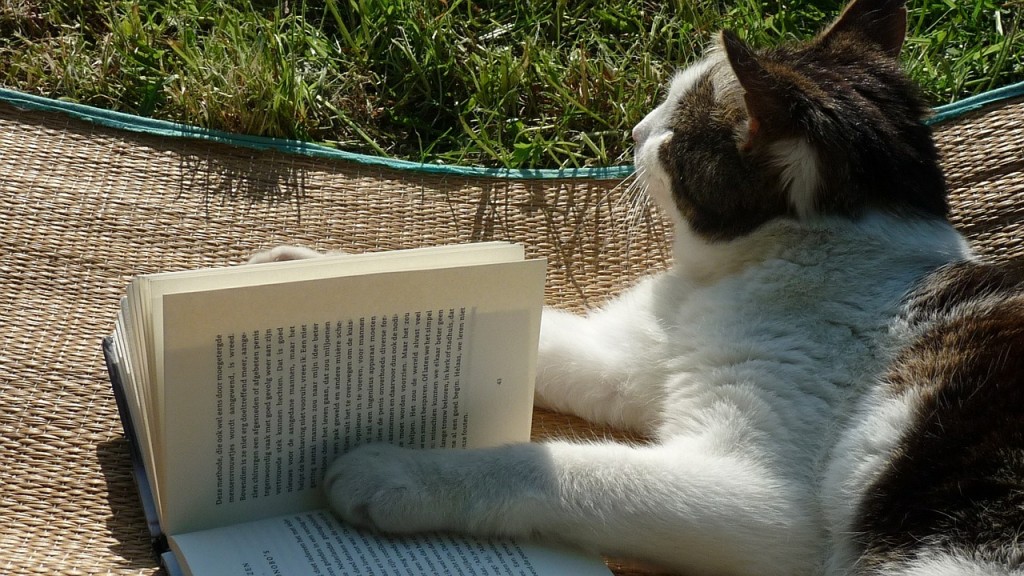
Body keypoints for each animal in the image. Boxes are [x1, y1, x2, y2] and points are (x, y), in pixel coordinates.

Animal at [249, 2, 1024, 569]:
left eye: (676, 131)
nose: (633, 130)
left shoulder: (763, 498)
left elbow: (551, 467)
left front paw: (401, 474)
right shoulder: (635, 361)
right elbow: (553, 341)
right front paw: (307, 270)